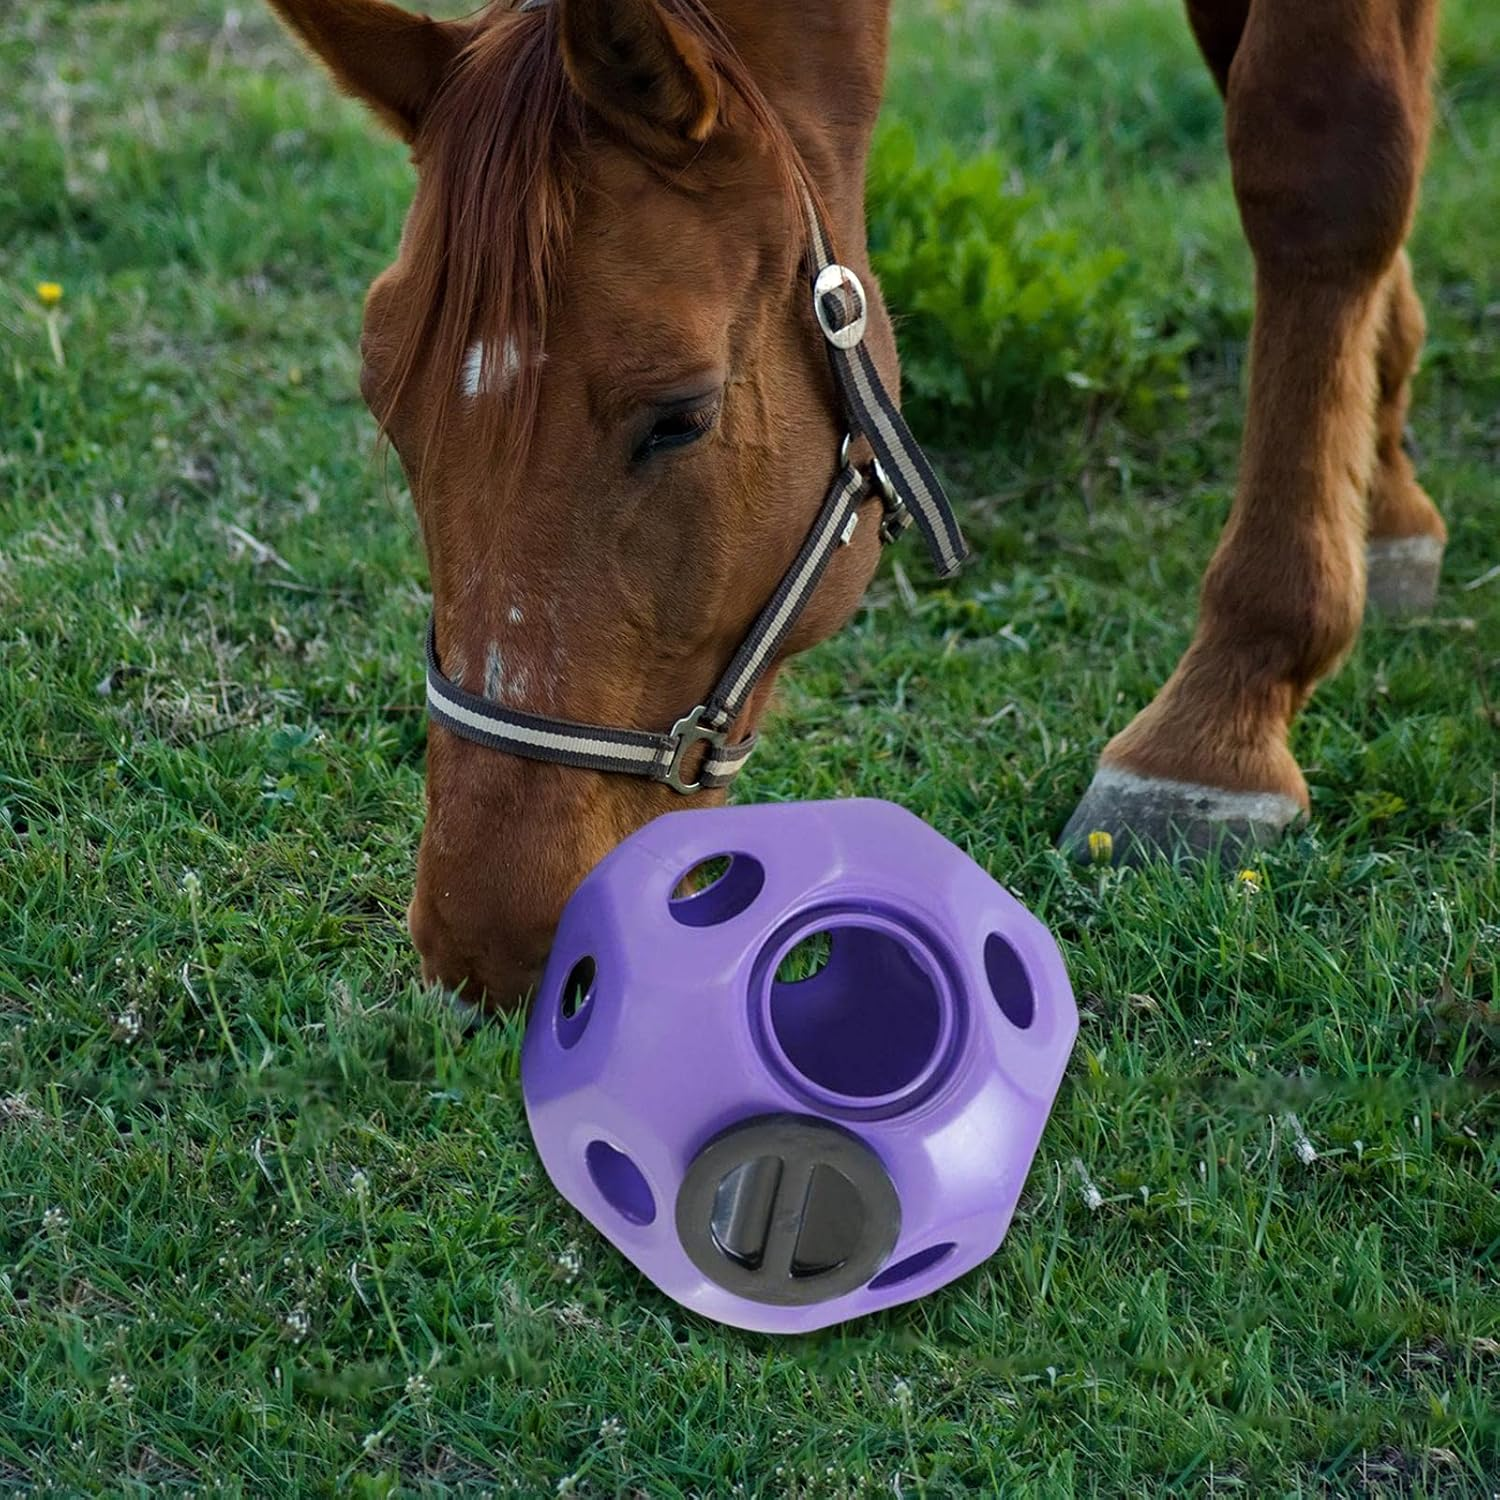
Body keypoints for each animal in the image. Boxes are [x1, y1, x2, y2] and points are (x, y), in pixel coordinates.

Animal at [266, 0, 1446, 1011]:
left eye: (678, 417)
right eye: (388, 406)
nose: (480, 943)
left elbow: (1320, 161)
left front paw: (1223, 718)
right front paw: (1378, 472)